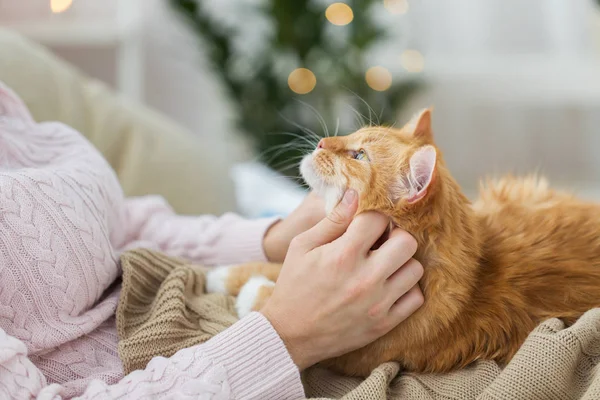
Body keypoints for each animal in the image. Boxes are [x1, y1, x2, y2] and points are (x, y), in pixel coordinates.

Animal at [205, 108, 600, 376]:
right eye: (352, 136)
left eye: (358, 155)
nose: (320, 142)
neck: (475, 275)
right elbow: (277, 263)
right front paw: (224, 274)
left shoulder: (348, 353)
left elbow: (273, 291)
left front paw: (249, 292)